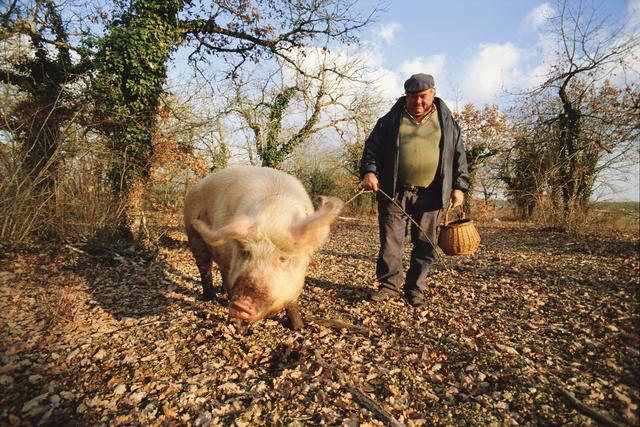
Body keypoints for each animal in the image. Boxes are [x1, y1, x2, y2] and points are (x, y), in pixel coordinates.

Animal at [182, 166, 342, 330]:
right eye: (246, 253)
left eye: (283, 258)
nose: (240, 305)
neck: (274, 215)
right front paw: (240, 330)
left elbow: (292, 304)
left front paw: (299, 327)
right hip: (193, 236)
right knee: (205, 269)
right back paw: (209, 298)